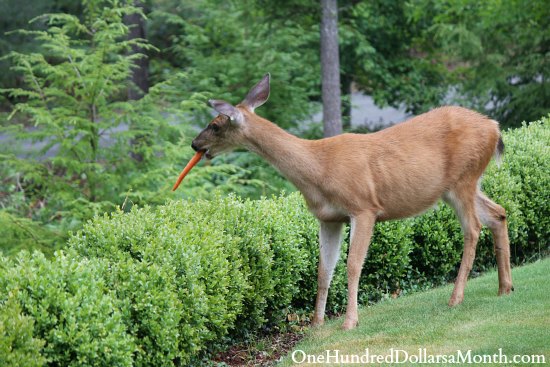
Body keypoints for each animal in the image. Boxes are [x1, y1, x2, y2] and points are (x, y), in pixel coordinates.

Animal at [192, 74, 516, 330]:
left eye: (215, 125)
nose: (195, 144)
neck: (318, 168)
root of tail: (494, 127)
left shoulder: (363, 207)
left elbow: (352, 265)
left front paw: (350, 322)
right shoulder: (328, 218)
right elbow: (323, 270)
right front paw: (316, 323)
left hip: (463, 179)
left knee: (473, 228)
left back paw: (456, 298)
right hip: (459, 185)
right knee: (498, 213)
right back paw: (505, 288)